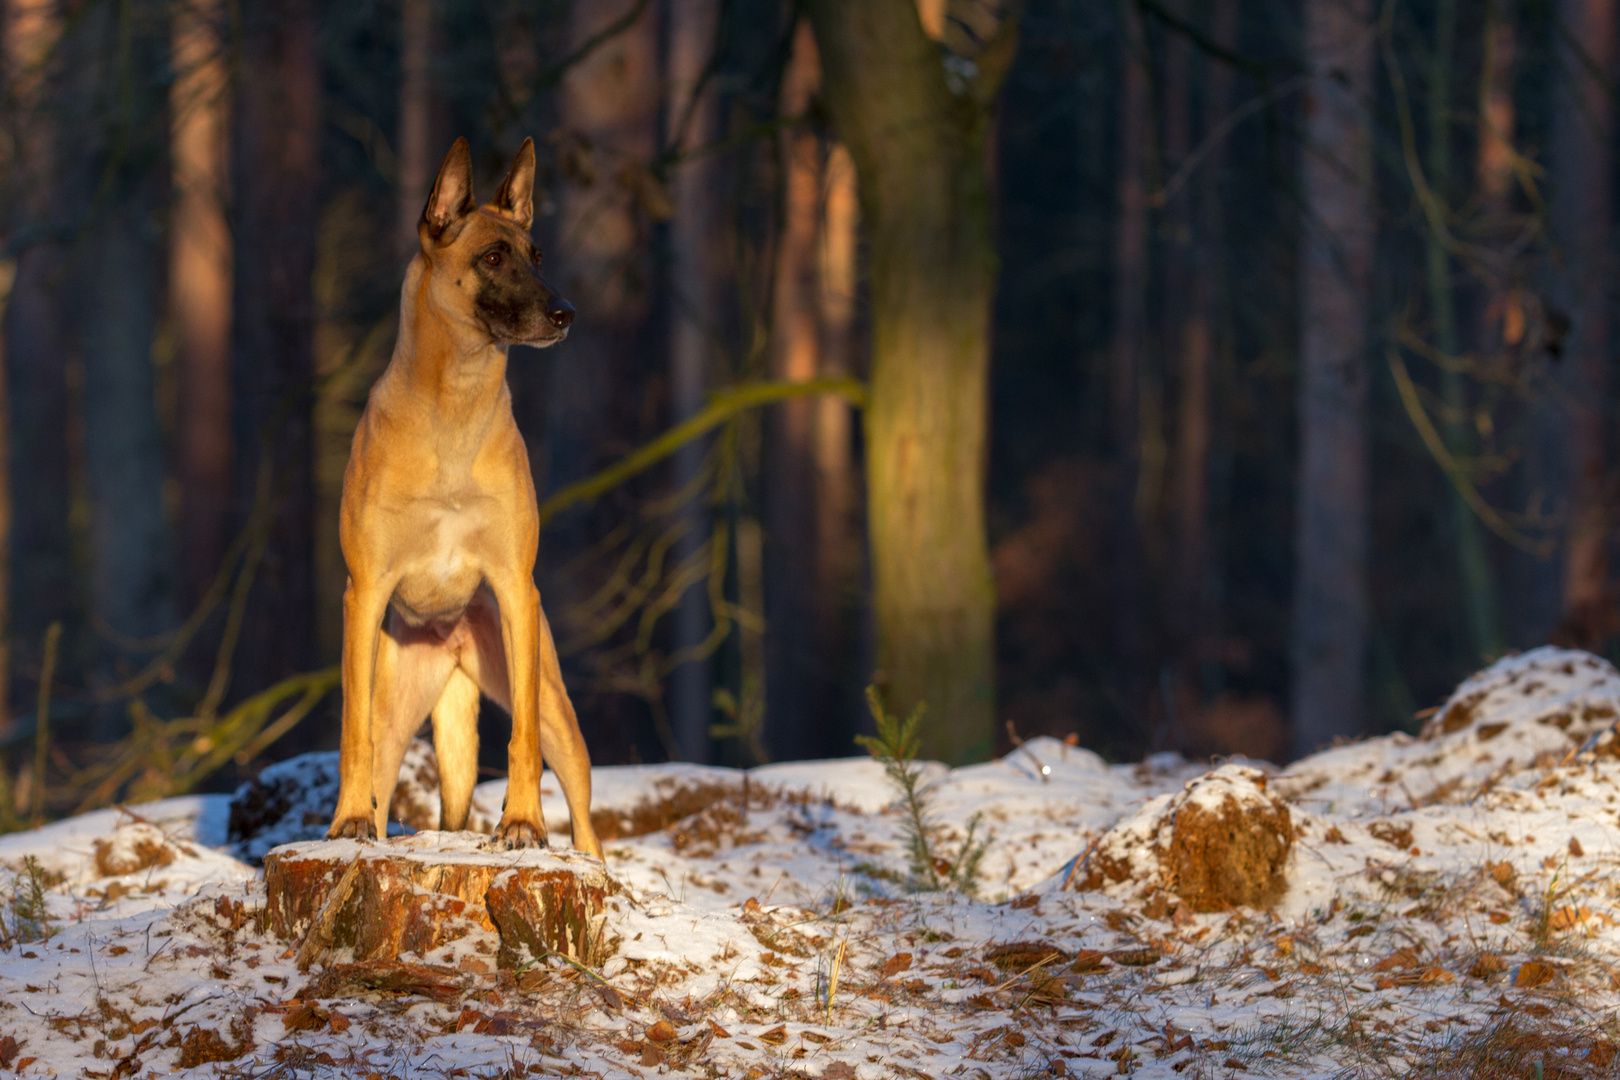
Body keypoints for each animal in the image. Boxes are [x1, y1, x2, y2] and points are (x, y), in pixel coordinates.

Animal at [325, 137, 605, 861]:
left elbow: (520, 740)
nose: (565, 313)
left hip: (553, 703)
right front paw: (345, 824)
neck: (455, 406)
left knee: (584, 811)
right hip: (396, 707)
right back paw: (364, 821)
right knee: (377, 762)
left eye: (537, 254)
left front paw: (523, 823)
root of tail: (450, 644)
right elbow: (349, 732)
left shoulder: (514, 588)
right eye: (493, 257)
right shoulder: (364, 594)